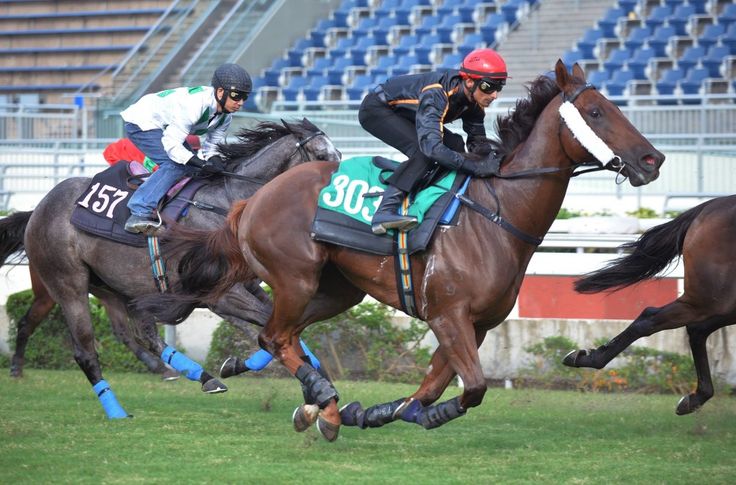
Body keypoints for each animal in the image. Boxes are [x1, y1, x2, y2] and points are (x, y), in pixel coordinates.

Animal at [0, 119, 342, 418]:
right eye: (322, 157)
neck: (227, 205)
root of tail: (37, 209)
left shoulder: (245, 287)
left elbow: (281, 330)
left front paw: (307, 381)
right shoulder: (221, 295)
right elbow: (271, 330)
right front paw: (318, 388)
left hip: (116, 286)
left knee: (141, 334)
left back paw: (197, 375)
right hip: (66, 283)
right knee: (85, 349)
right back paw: (116, 410)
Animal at [135, 61, 664, 438]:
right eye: (597, 113)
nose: (653, 159)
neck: (496, 213)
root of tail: (252, 198)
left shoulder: (477, 324)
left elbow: (432, 387)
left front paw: (380, 411)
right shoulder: (448, 315)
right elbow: (472, 388)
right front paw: (409, 413)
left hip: (335, 290)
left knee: (278, 336)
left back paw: (315, 403)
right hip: (295, 277)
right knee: (277, 336)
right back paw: (322, 400)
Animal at [568, 195, 732, 414]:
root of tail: (709, 205)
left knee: (695, 328)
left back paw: (695, 398)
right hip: (709, 298)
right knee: (653, 318)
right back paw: (587, 358)